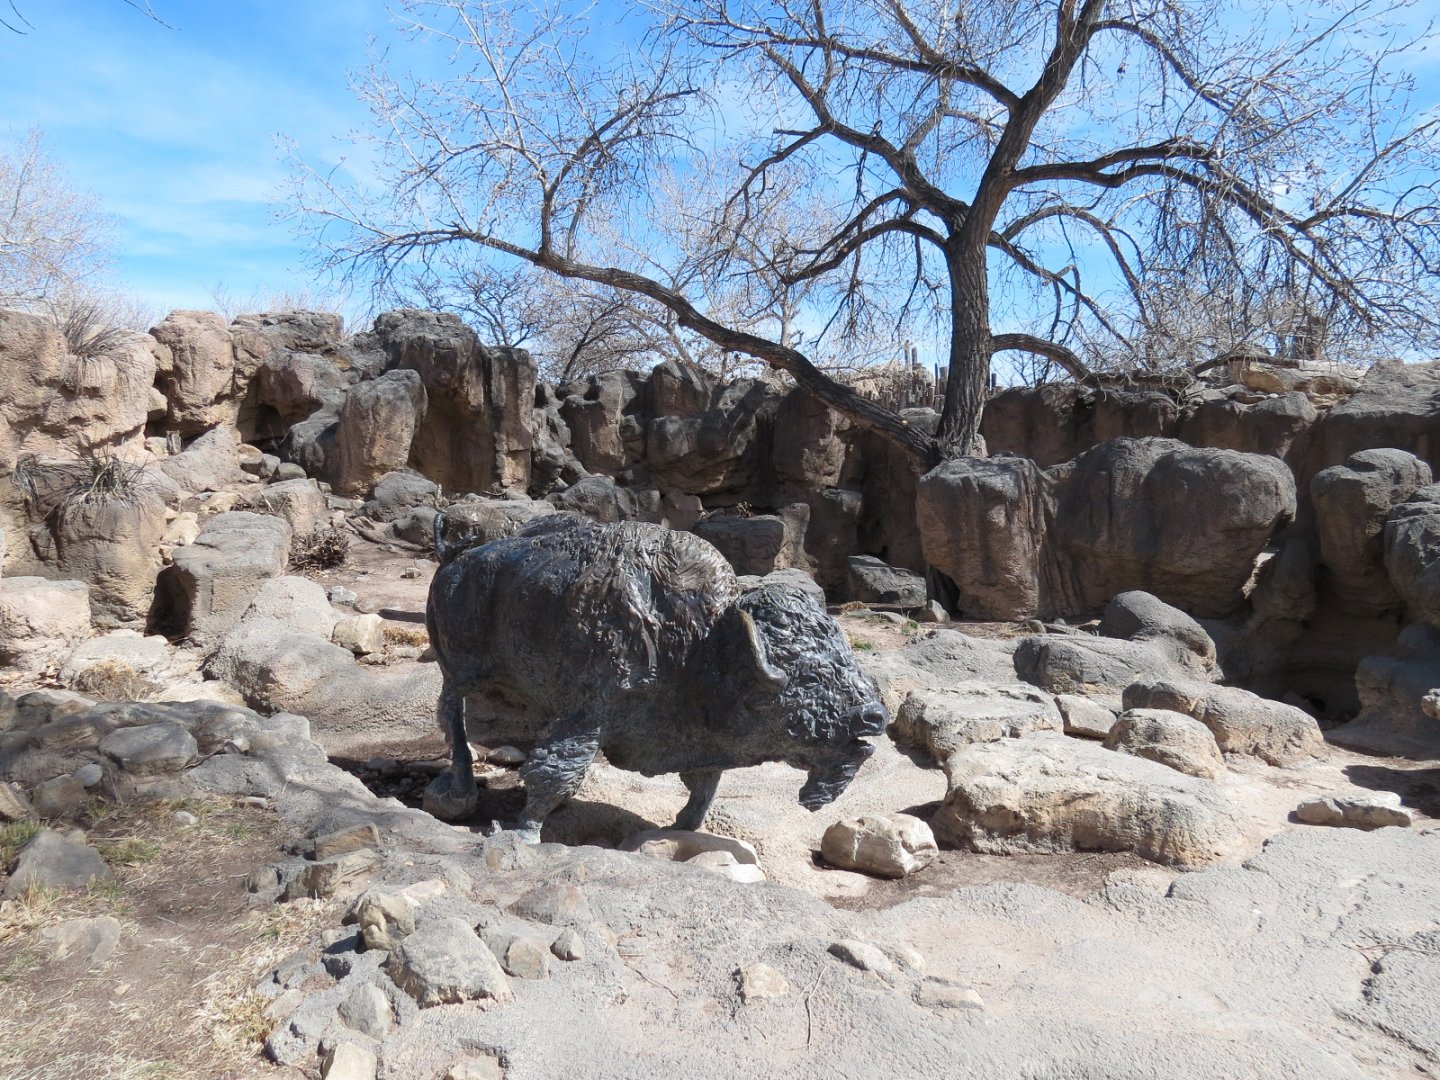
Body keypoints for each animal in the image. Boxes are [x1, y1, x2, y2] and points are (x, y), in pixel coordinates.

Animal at [424, 513, 887, 842]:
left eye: (845, 656)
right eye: (810, 678)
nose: (875, 717)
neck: (704, 642)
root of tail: (453, 559)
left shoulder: (698, 741)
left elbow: (705, 781)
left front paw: (683, 826)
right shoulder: (589, 715)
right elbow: (556, 772)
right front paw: (520, 834)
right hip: (460, 669)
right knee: (453, 716)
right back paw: (460, 792)